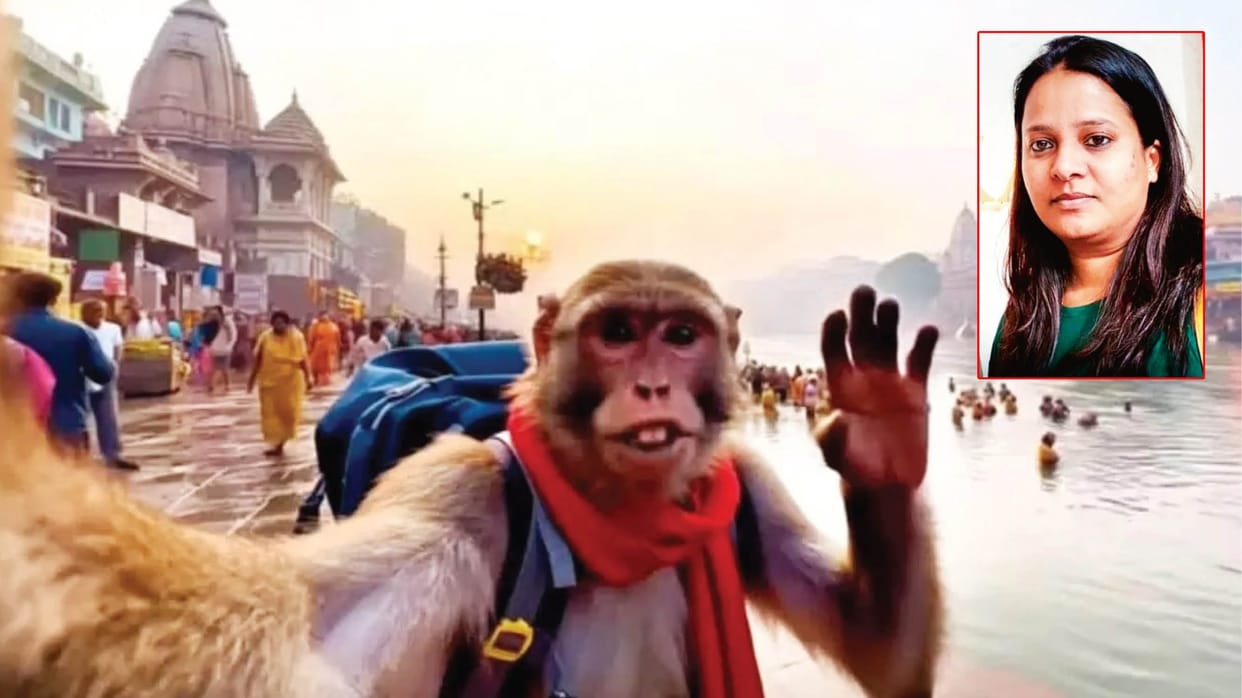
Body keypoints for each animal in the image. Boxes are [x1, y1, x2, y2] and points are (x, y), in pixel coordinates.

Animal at [0, 259, 941, 698]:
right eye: (619, 332)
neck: (610, 512)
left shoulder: (741, 484)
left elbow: (878, 650)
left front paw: (878, 432)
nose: (650, 386)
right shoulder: (456, 491)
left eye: (680, 335)